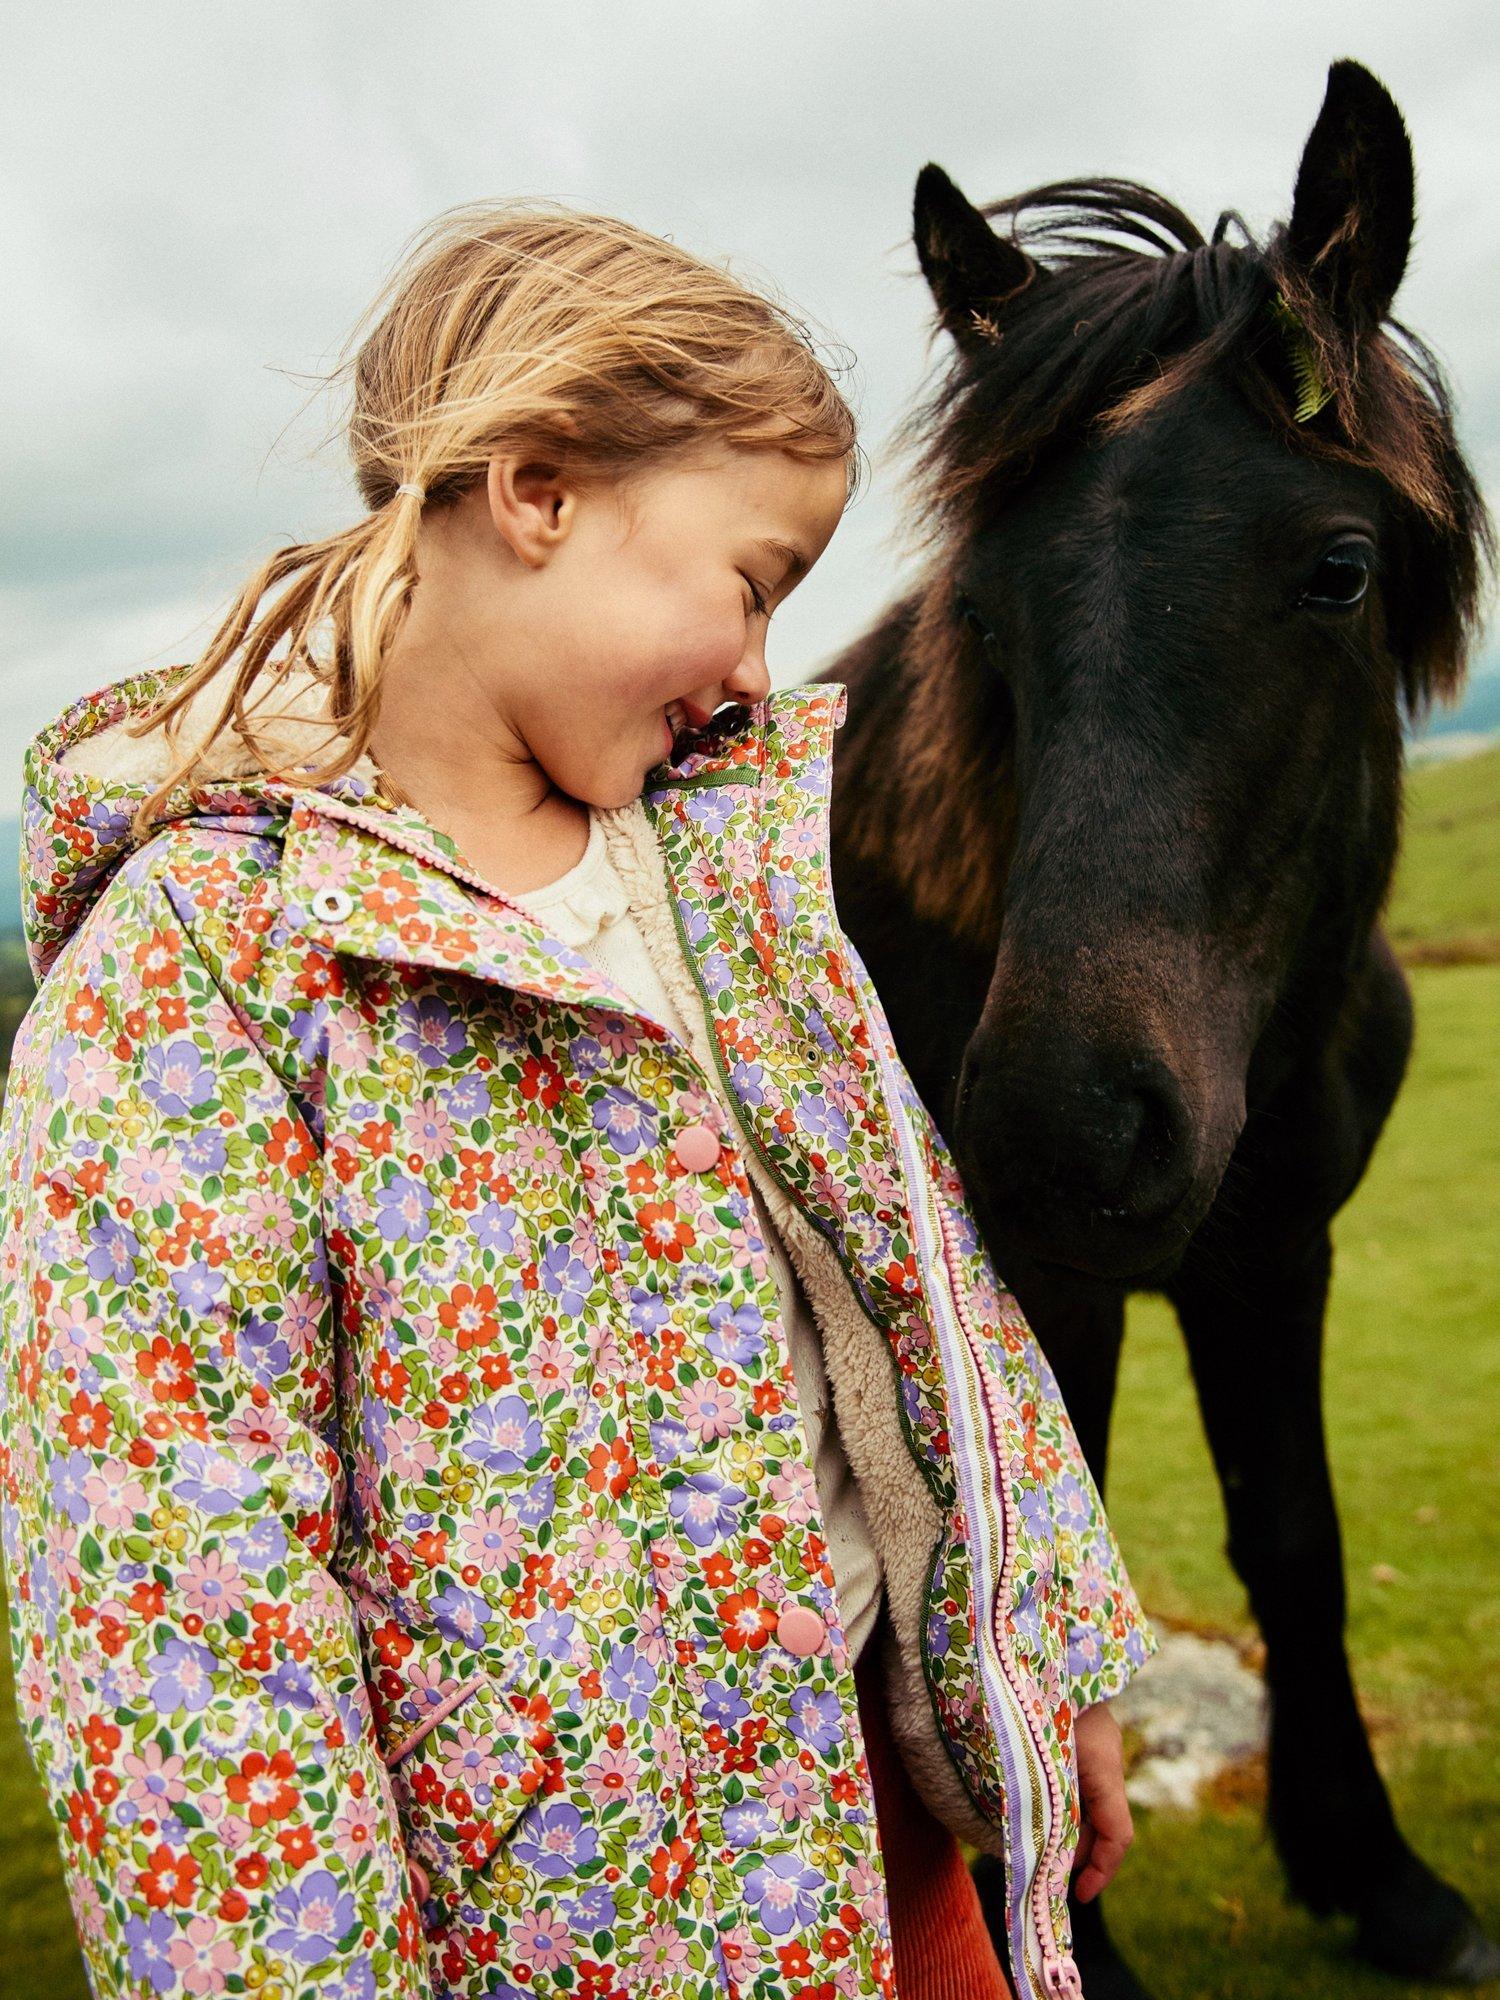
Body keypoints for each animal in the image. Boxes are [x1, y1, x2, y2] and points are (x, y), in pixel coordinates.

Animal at [828, 54, 1496, 1992]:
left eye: (1339, 568)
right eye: (985, 611)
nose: (1062, 1130)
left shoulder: (1276, 1251)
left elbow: (1298, 1542)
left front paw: (1373, 1869)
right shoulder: (1049, 1296)